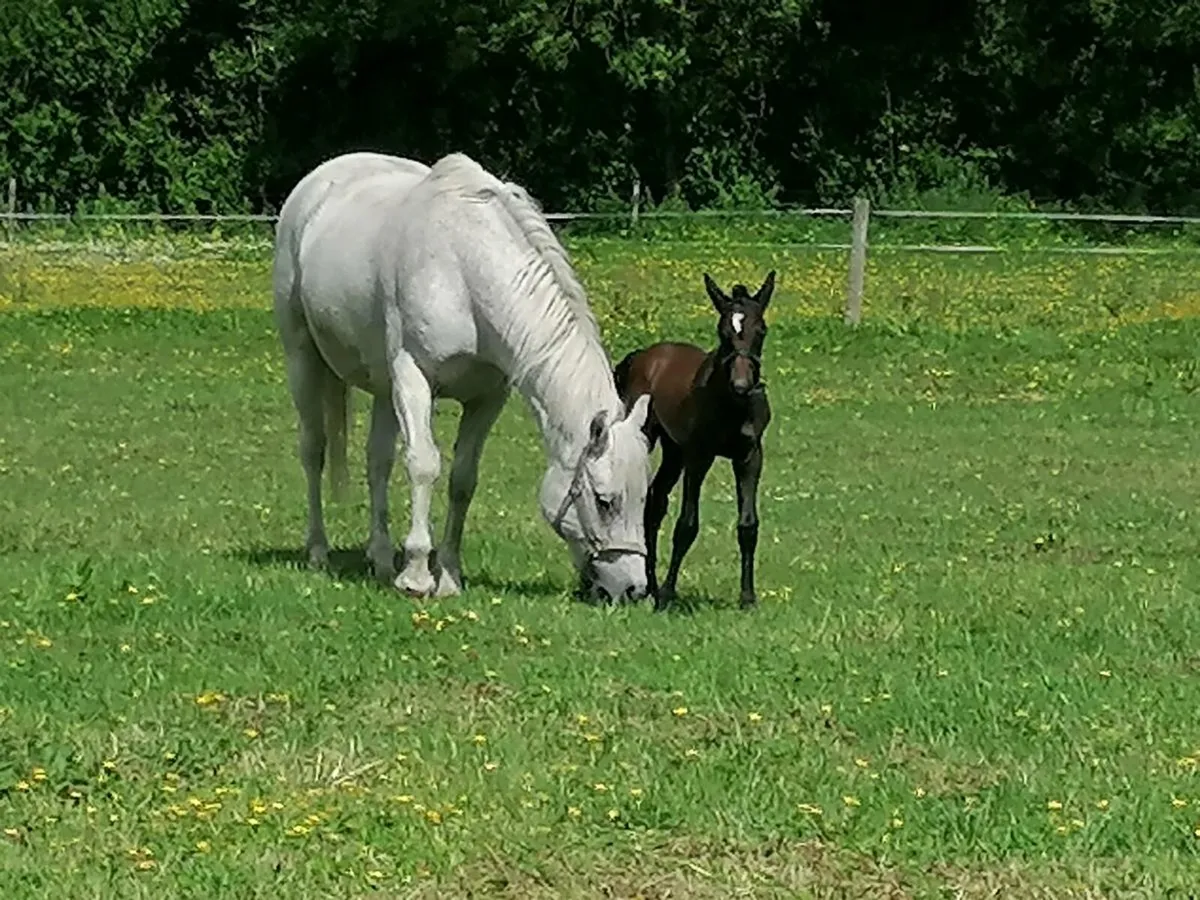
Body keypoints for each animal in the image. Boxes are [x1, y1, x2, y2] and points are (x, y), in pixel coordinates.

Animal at [272, 150, 654, 603]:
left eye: (644, 497)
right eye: (604, 500)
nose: (633, 589)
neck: (466, 269)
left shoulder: (486, 398)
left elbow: (462, 480)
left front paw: (449, 577)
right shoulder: (414, 378)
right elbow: (423, 465)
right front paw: (417, 576)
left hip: (384, 388)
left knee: (377, 460)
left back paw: (381, 559)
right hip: (304, 360)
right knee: (313, 450)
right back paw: (318, 551)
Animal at [613, 270, 775, 611]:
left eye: (761, 330)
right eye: (723, 331)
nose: (742, 385)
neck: (731, 405)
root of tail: (645, 355)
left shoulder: (750, 456)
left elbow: (748, 525)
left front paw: (748, 598)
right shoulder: (700, 456)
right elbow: (687, 524)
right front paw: (668, 595)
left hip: (674, 451)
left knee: (656, 501)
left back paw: (651, 584)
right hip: (651, 439)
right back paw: (652, 587)